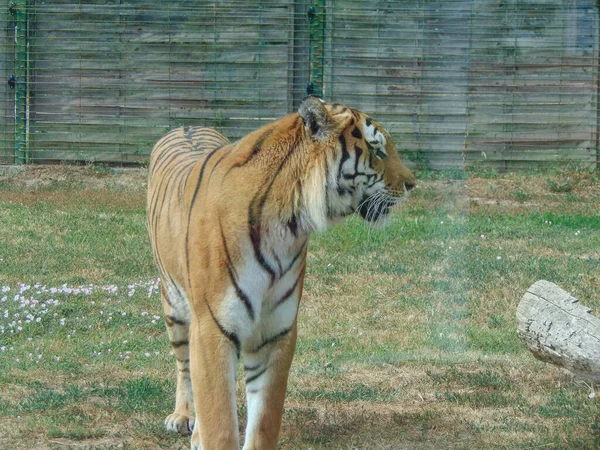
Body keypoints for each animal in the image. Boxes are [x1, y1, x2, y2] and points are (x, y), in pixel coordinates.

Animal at [148, 96, 414, 450]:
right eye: (377, 150)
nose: (413, 184)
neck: (287, 225)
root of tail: (188, 125)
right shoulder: (212, 328)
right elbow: (219, 423)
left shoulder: (275, 333)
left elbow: (263, 424)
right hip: (174, 305)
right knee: (184, 365)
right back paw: (182, 416)